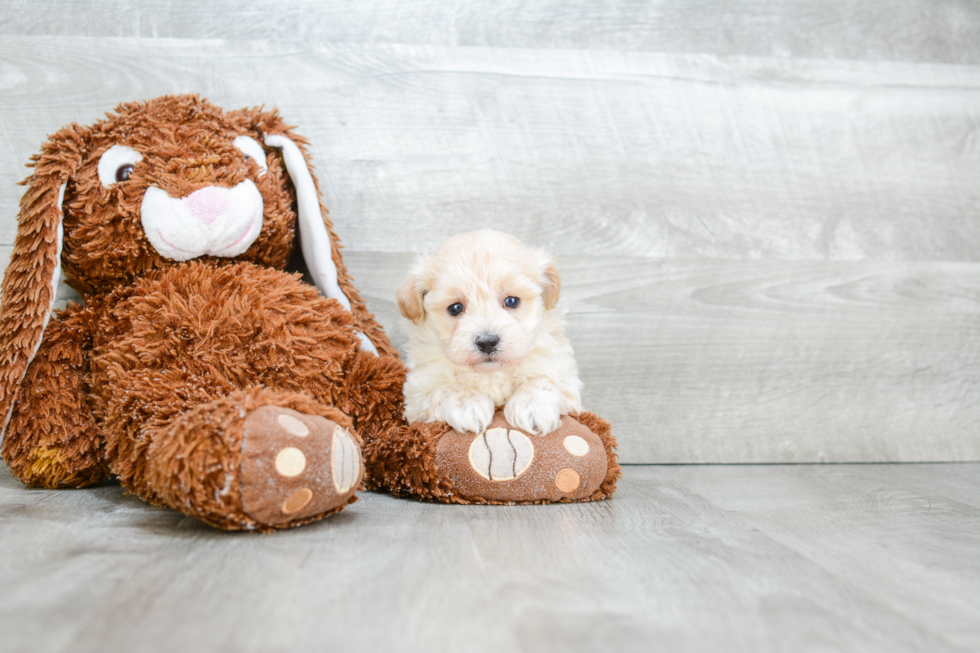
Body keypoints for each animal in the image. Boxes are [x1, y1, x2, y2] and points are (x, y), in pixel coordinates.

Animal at [398, 229, 580, 432]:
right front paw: (468, 405)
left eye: (511, 301)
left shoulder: (561, 372)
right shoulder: (419, 391)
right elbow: (444, 389)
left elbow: (543, 380)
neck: (490, 372)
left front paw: (531, 405)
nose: (487, 342)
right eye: (455, 308)